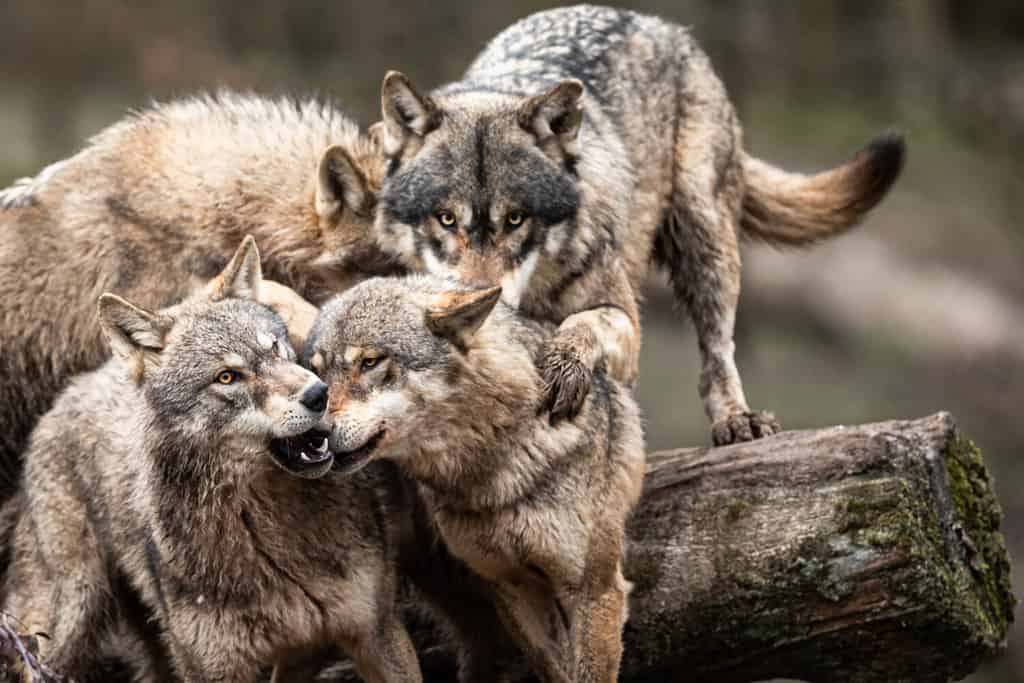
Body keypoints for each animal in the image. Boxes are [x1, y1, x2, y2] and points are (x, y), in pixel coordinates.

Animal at [1, 239, 419, 683]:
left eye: (274, 348)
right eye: (227, 377)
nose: (319, 393)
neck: (265, 538)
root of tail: (64, 395)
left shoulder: (373, 633)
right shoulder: (215, 668)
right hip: (72, 616)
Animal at [305, 274, 647, 679]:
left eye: (369, 361)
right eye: (317, 374)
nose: (313, 436)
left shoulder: (594, 590)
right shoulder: (510, 586)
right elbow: (553, 669)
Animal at [374, 5, 905, 446]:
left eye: (516, 219)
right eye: (446, 219)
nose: (479, 307)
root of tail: (656, 22)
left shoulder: (626, 324)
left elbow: (585, 323)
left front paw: (563, 366)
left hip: (704, 236)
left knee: (717, 352)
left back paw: (738, 420)